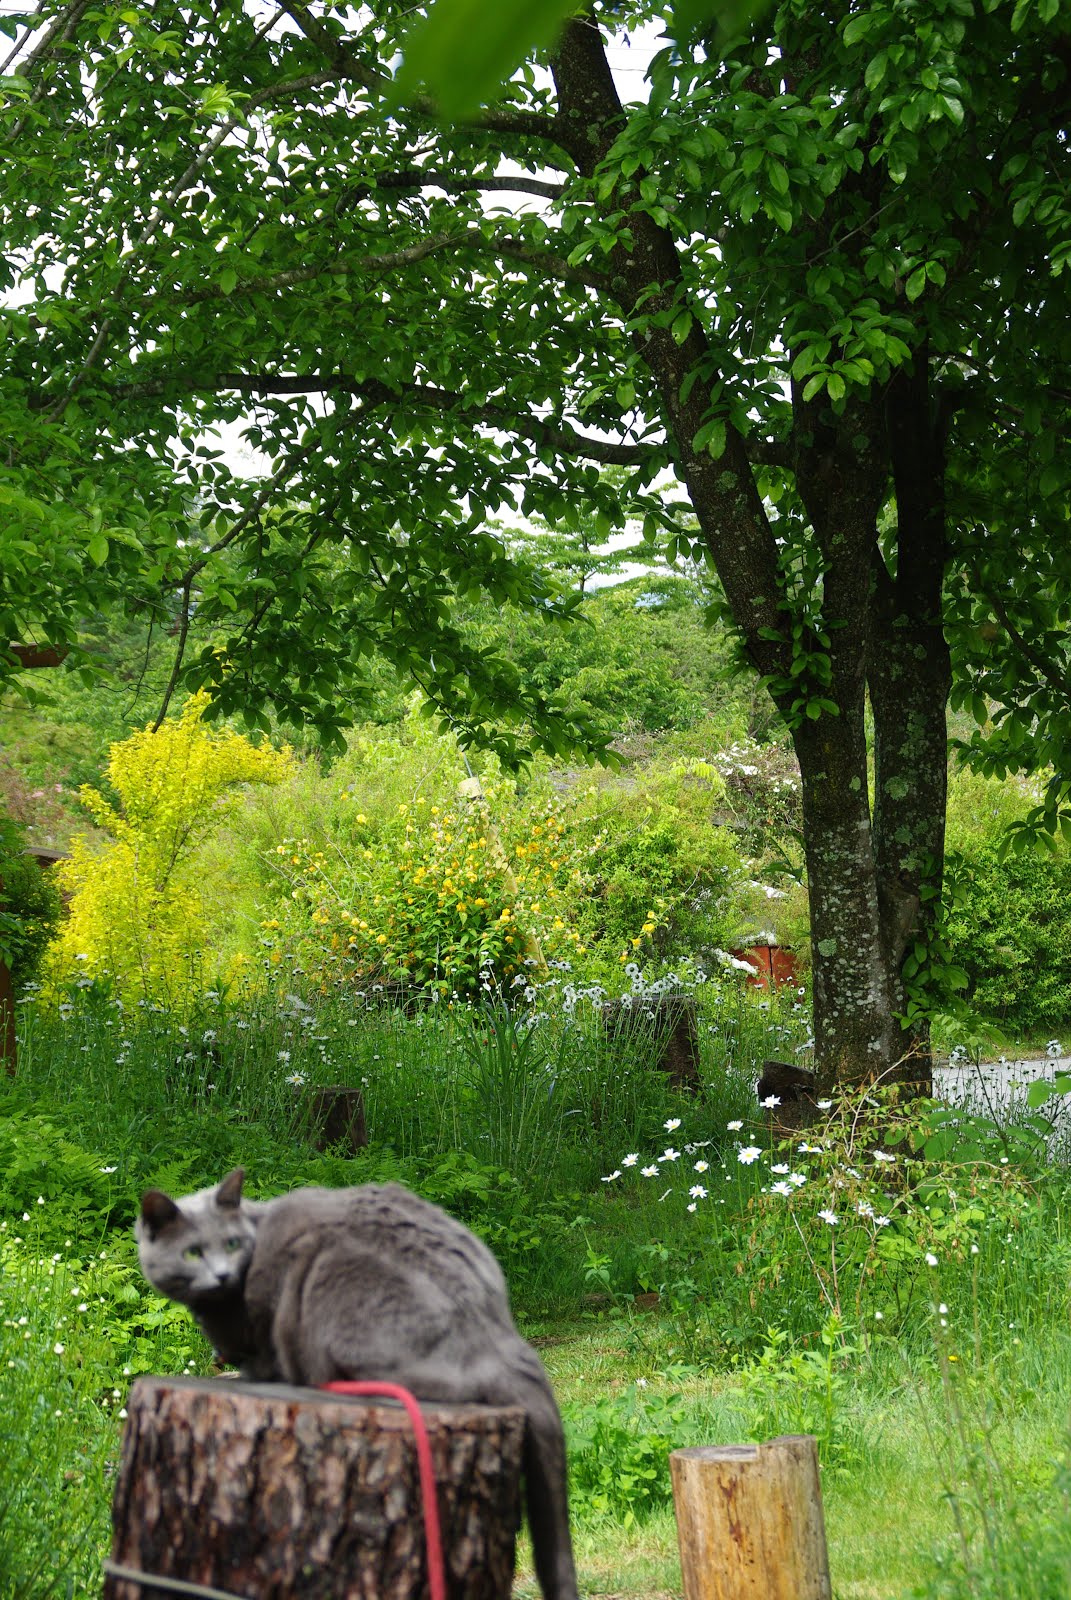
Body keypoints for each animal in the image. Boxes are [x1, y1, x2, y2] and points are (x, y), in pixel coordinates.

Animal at [140, 1164, 579, 1600]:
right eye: (193, 1252)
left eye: (232, 1244)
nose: (222, 1274)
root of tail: (499, 1335)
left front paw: (249, 1371)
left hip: (327, 1276)